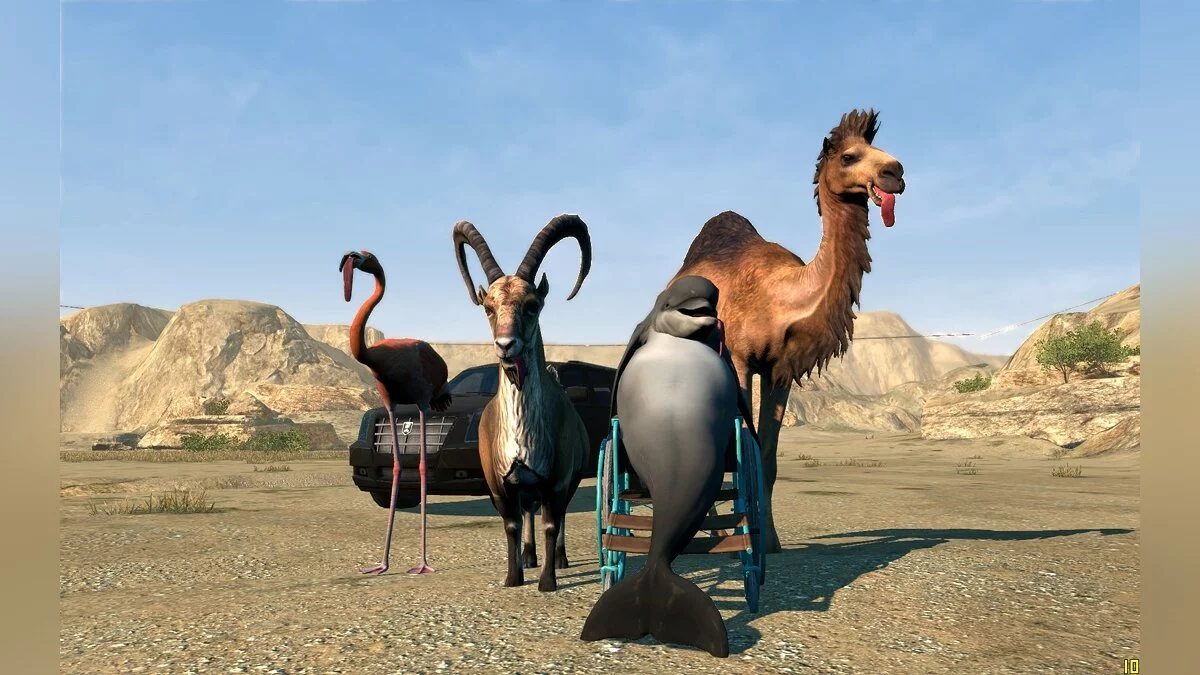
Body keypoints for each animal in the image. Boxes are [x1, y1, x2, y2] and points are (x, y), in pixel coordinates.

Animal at [452, 214, 591, 592]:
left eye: (532, 305)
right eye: (488, 308)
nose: (505, 345)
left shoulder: (557, 478)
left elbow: (552, 523)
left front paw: (547, 582)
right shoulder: (499, 480)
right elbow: (512, 524)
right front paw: (513, 576)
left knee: (557, 515)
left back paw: (558, 558)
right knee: (528, 511)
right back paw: (529, 556)